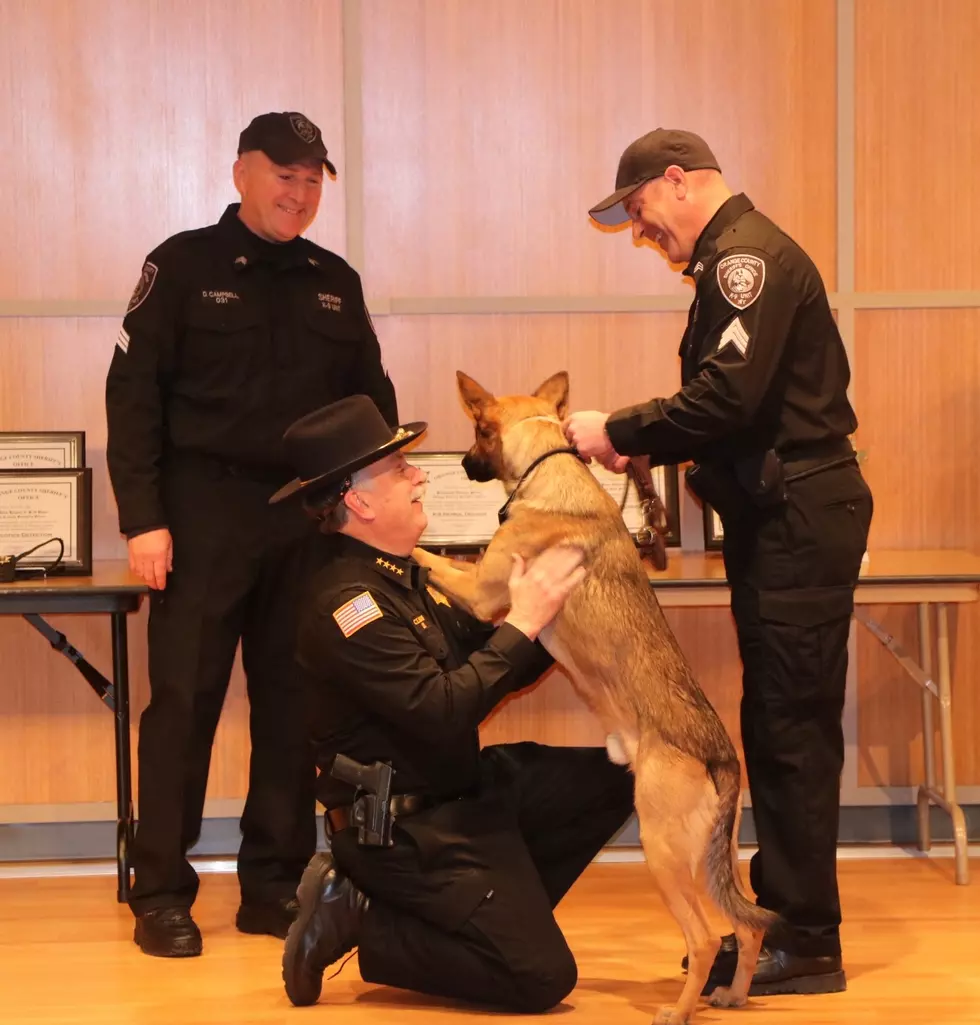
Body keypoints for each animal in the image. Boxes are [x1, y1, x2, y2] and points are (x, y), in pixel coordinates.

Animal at [410, 373, 779, 1020]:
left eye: (477, 432)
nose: (462, 464)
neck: (548, 466)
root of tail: (719, 755)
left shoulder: (481, 592)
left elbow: (428, 558)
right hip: (713, 858)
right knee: (747, 926)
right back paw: (732, 995)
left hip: (663, 852)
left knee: (707, 937)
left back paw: (680, 1010)